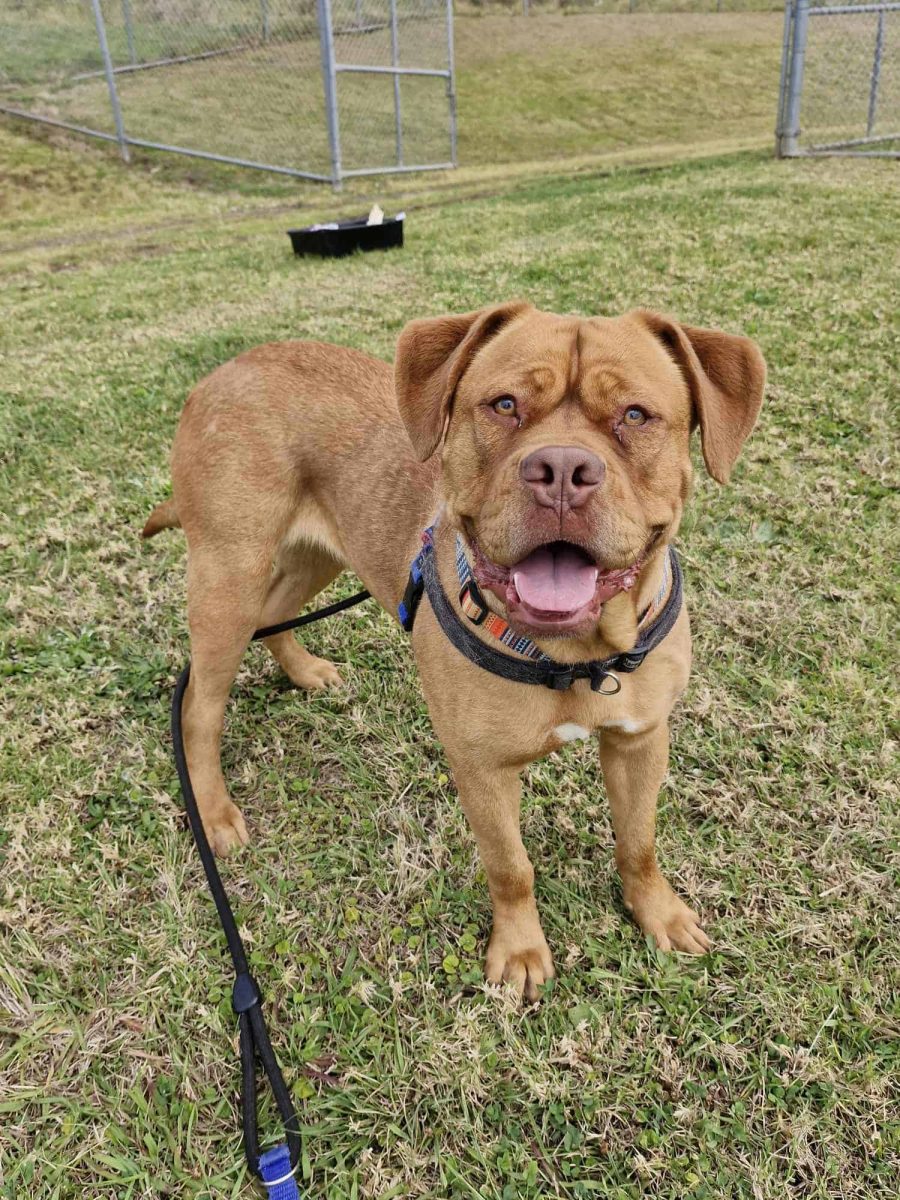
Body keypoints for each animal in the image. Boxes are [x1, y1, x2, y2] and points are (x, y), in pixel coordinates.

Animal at [144, 304, 763, 998]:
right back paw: (215, 811)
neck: (573, 655)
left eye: (634, 415)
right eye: (504, 404)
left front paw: (658, 914)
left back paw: (304, 672)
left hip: (315, 556)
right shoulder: (482, 768)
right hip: (229, 578)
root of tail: (222, 371)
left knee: (277, 613)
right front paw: (520, 952)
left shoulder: (640, 739)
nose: (562, 472)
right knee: (200, 708)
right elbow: (511, 867)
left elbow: (639, 843)